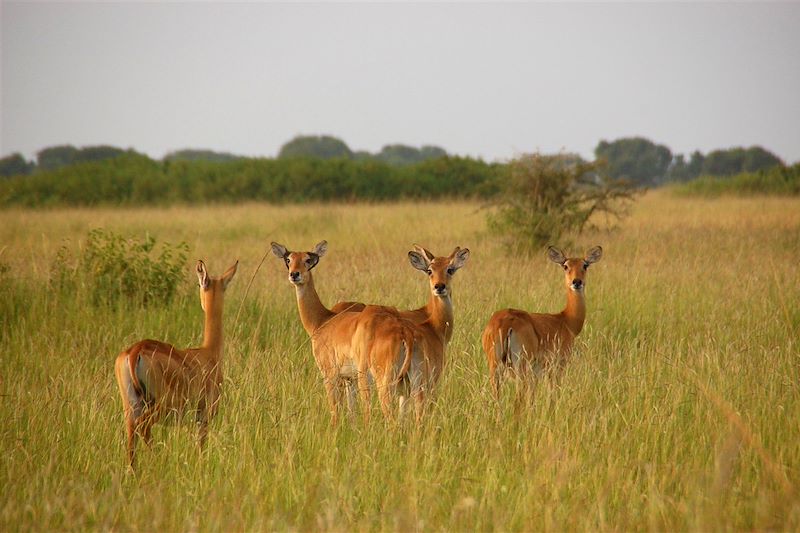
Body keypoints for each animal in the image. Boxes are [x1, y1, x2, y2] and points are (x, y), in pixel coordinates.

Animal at [113, 260, 238, 468]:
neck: (208, 353)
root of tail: (135, 351)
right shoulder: (204, 416)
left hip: (130, 406)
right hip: (162, 406)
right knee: (143, 427)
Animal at [270, 241, 418, 424]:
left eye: (307, 259)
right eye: (288, 259)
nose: (295, 274)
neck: (322, 321)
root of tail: (402, 331)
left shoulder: (330, 375)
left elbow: (335, 411)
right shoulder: (349, 379)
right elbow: (351, 411)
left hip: (374, 378)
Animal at [478, 247, 604, 396]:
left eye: (585, 265)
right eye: (565, 266)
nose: (577, 282)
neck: (566, 320)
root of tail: (505, 324)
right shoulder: (557, 368)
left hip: (496, 366)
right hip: (521, 367)